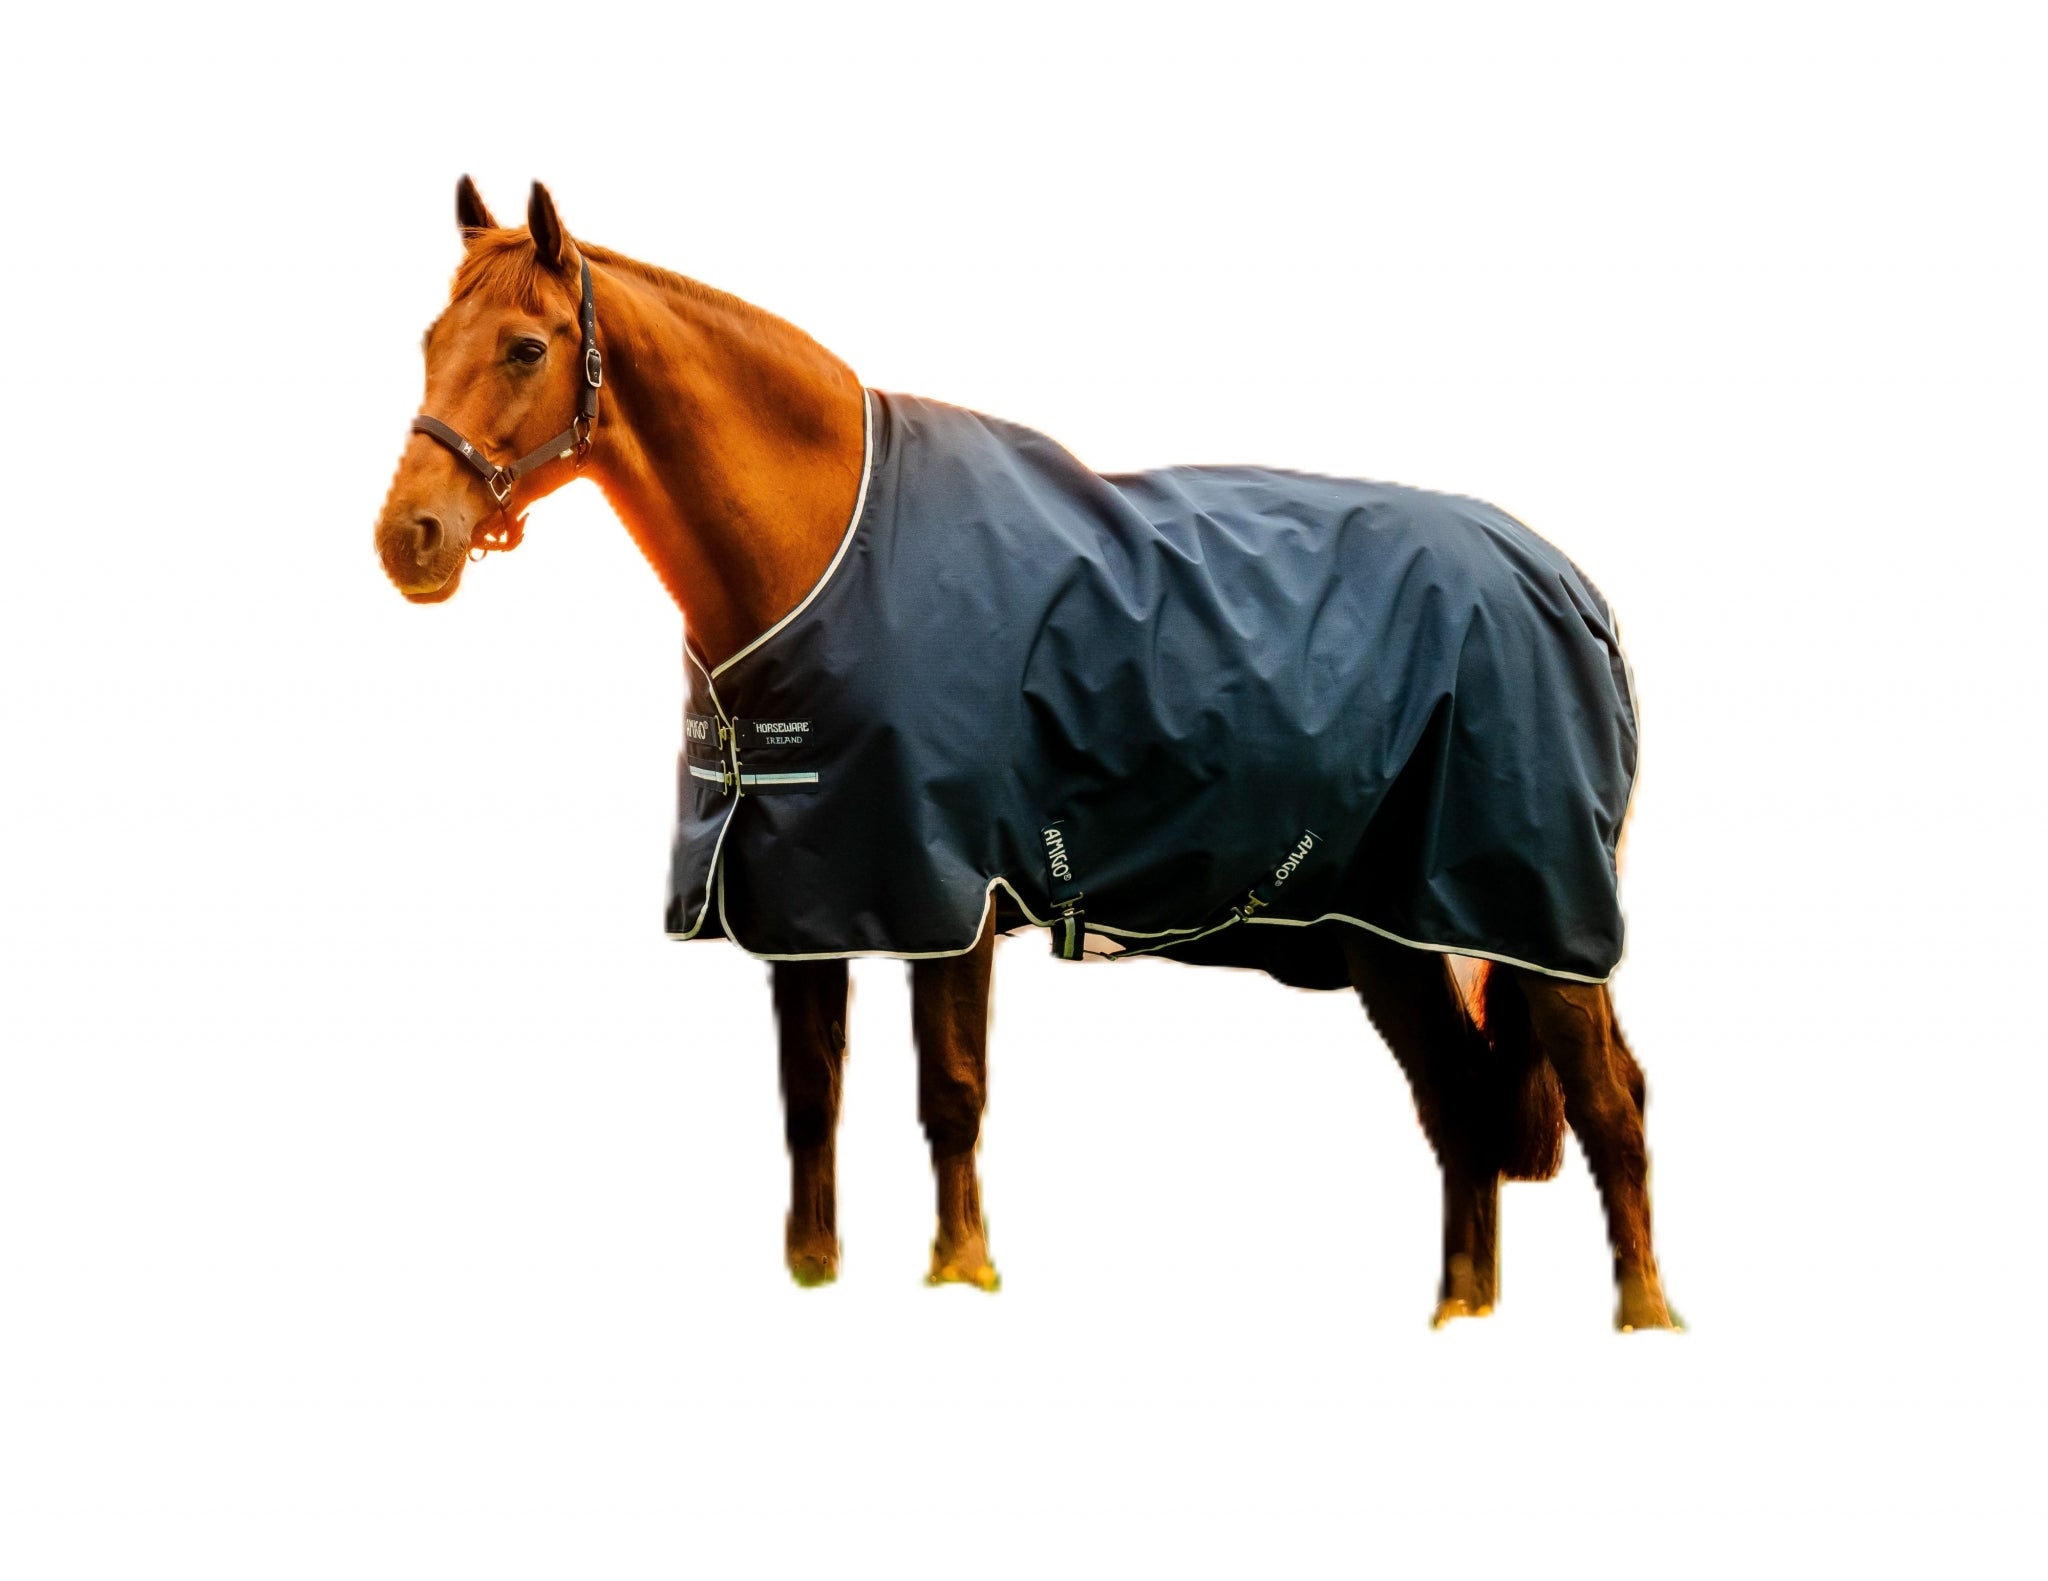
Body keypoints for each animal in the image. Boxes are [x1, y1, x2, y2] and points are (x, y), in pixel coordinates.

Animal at [373, 177, 1677, 1331]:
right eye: (432, 336)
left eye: (526, 347)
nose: (409, 538)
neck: (826, 553)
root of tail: (1565, 584)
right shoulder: (806, 902)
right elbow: (810, 1104)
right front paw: (814, 1276)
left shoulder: (945, 895)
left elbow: (950, 1097)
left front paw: (962, 1278)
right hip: (1385, 933)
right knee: (1459, 1110)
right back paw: (1461, 1317)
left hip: (1540, 920)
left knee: (1610, 1110)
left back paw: (1644, 1319)